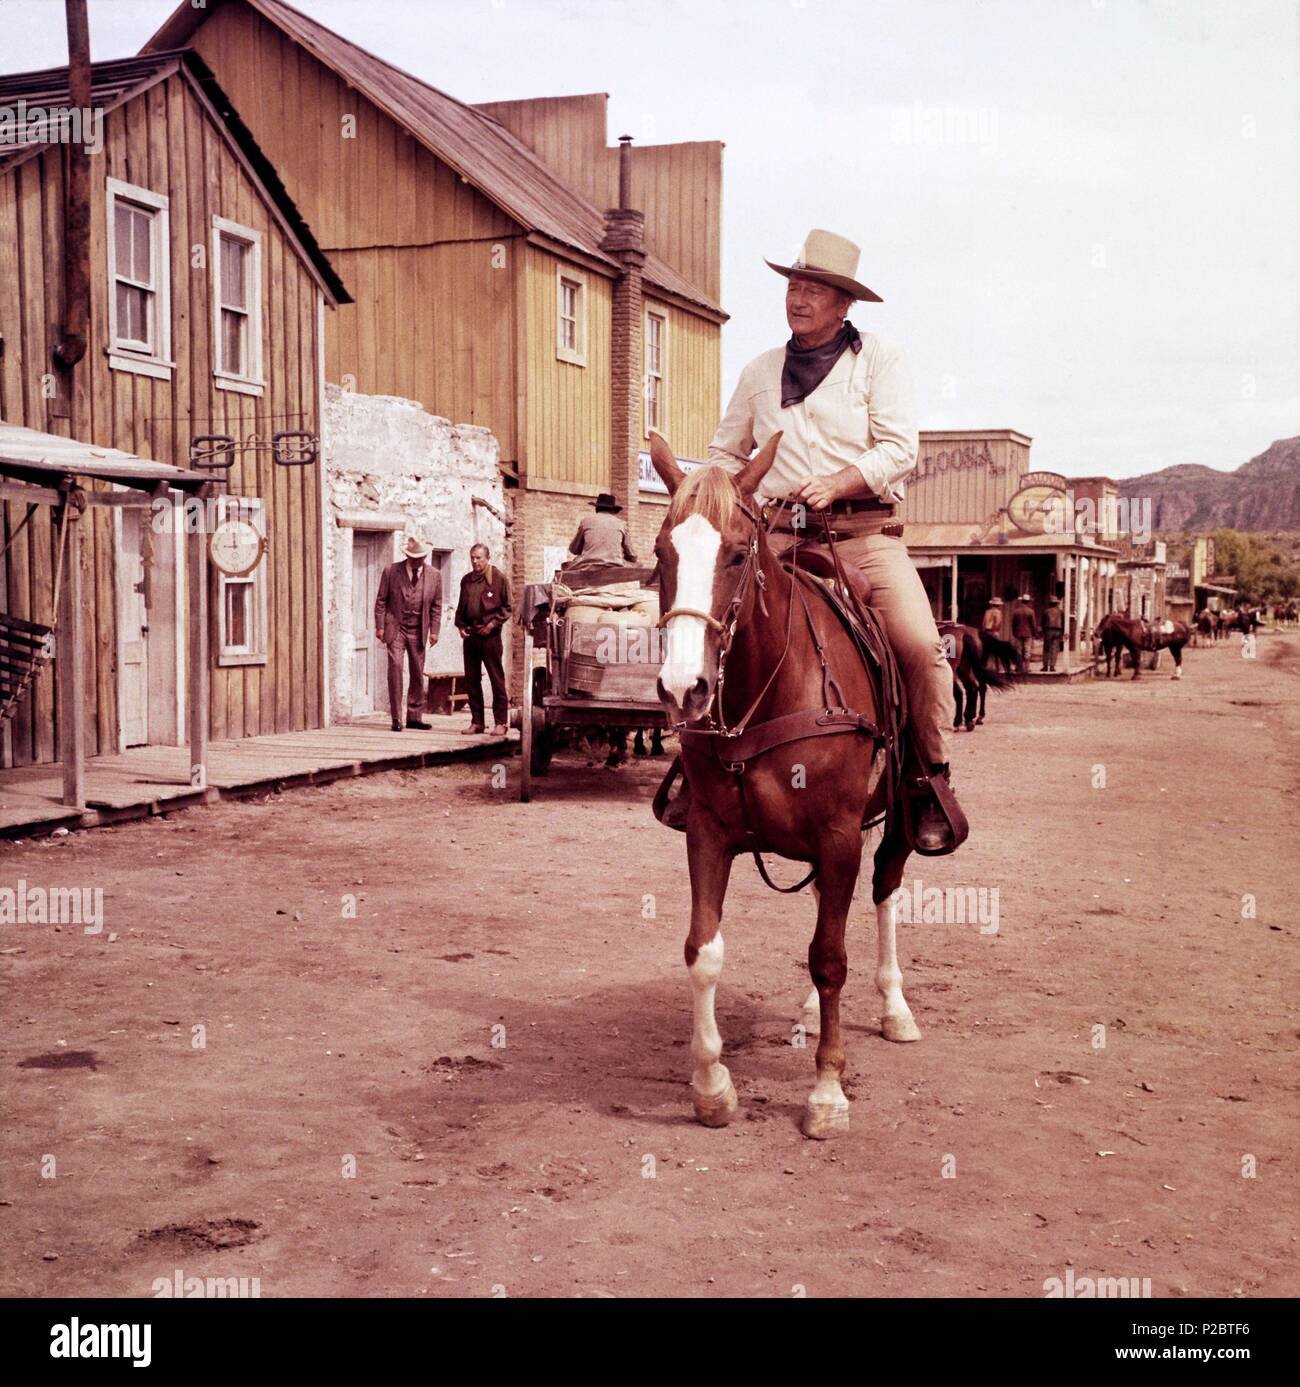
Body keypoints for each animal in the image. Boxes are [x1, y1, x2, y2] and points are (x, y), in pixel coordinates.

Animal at [643, 429, 915, 1137]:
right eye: (660, 553)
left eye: (738, 553)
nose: (683, 688)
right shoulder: (708, 832)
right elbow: (704, 950)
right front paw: (711, 1086)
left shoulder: (842, 835)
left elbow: (831, 958)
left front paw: (827, 1093)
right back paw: (815, 1014)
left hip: (896, 822)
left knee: (884, 893)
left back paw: (895, 1007)